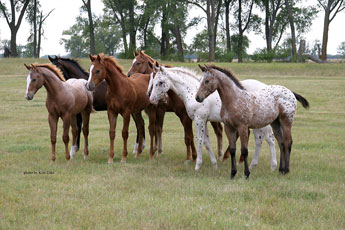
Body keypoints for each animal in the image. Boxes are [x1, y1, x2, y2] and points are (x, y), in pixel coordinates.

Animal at [147, 64, 276, 171]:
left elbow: (199, 140)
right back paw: (252, 165)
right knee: (259, 140)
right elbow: (206, 141)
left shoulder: (199, 120)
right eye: (153, 81)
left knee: (269, 139)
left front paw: (197, 165)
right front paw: (214, 164)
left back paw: (273, 167)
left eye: (161, 82)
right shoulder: (204, 121)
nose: (151, 99)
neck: (191, 91)